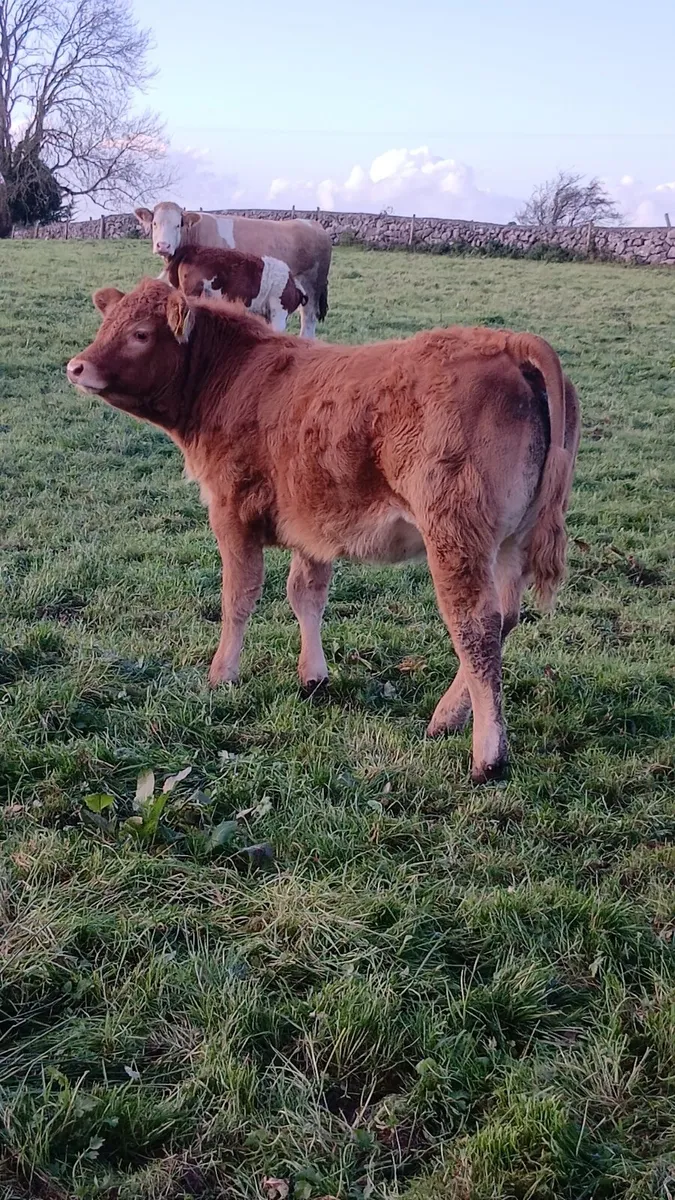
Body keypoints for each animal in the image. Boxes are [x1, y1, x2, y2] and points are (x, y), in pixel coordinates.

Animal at [66, 279, 580, 784]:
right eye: (107, 324)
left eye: (140, 333)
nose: (76, 366)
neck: (236, 377)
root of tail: (508, 343)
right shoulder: (314, 524)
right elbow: (306, 595)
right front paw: (312, 676)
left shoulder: (231, 512)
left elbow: (238, 596)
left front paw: (222, 673)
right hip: (511, 543)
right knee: (505, 618)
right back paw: (446, 717)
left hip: (455, 535)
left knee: (476, 628)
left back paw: (488, 756)